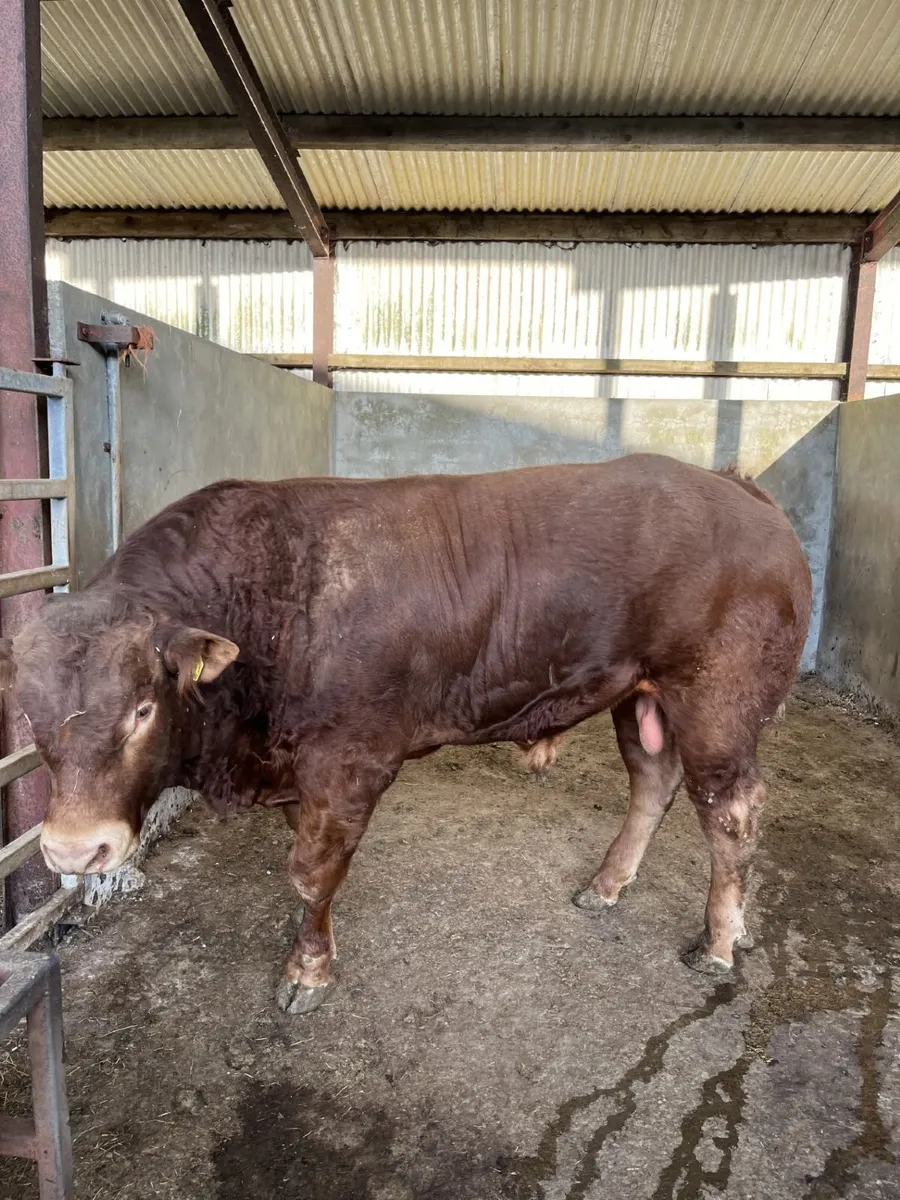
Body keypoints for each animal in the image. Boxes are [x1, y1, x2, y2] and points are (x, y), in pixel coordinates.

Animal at [0, 454, 811, 1016]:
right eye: (30, 711)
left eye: (142, 707)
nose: (74, 851)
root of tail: (739, 490)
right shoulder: (299, 770)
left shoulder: (350, 762)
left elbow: (312, 872)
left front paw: (307, 972)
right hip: (642, 697)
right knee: (653, 783)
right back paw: (606, 886)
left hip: (717, 704)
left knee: (730, 816)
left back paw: (718, 943)